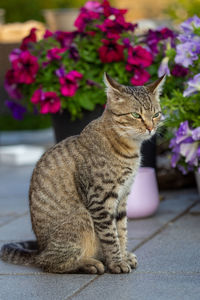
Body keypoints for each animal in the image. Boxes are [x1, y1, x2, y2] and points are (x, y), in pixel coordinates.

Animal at [0, 73, 165, 274]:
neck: (128, 148)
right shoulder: (100, 199)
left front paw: (123, 255)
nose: (150, 128)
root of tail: (40, 249)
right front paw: (116, 262)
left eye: (156, 114)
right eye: (136, 115)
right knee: (49, 263)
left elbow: (121, 231)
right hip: (81, 218)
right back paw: (88, 263)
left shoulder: (123, 197)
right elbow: (110, 236)